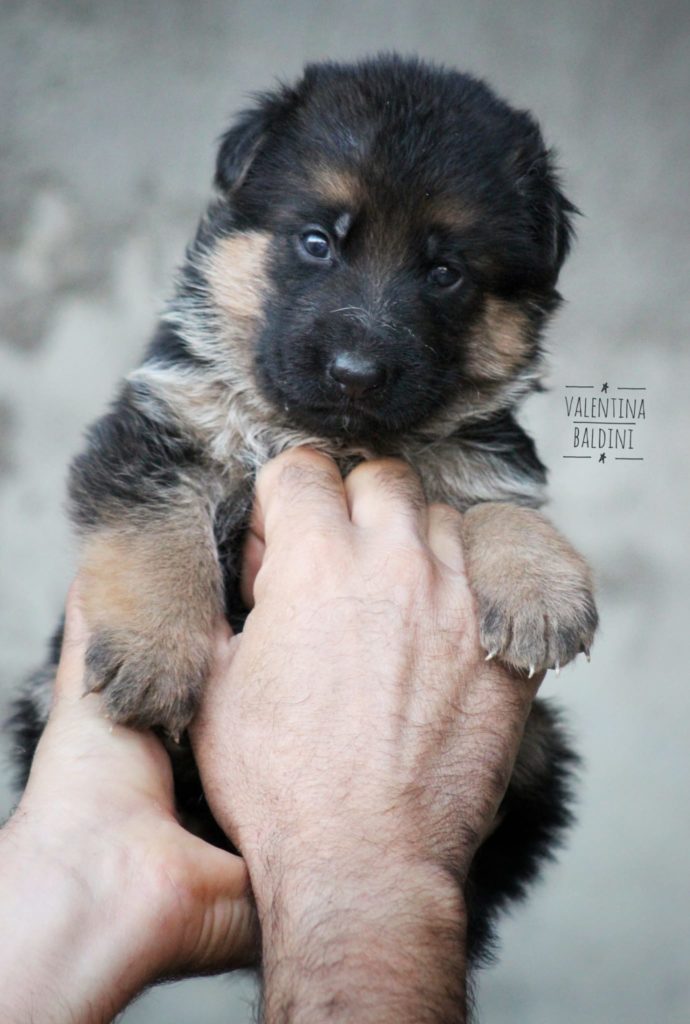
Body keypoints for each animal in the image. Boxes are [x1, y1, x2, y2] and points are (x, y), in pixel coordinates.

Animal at [8, 56, 593, 962]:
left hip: (542, 753)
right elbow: (158, 537)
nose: (355, 372)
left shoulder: (484, 460)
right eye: (317, 242)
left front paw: (539, 590)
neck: (331, 438)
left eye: (446, 272)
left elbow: (500, 506)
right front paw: (155, 654)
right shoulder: (156, 433)